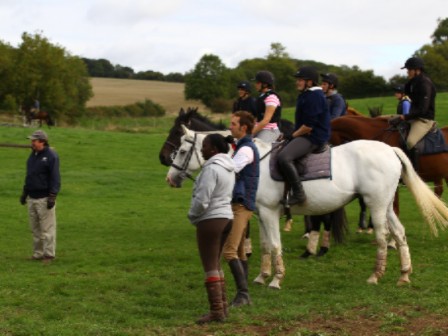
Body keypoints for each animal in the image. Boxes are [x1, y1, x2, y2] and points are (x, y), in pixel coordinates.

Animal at [166, 126, 448, 288]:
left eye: (181, 151)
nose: (170, 179)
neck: (250, 162)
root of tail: (390, 149)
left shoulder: (269, 212)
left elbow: (275, 245)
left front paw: (276, 279)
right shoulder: (261, 215)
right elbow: (266, 245)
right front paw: (262, 276)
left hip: (376, 204)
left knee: (382, 236)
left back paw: (375, 276)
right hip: (387, 204)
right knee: (399, 234)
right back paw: (404, 274)